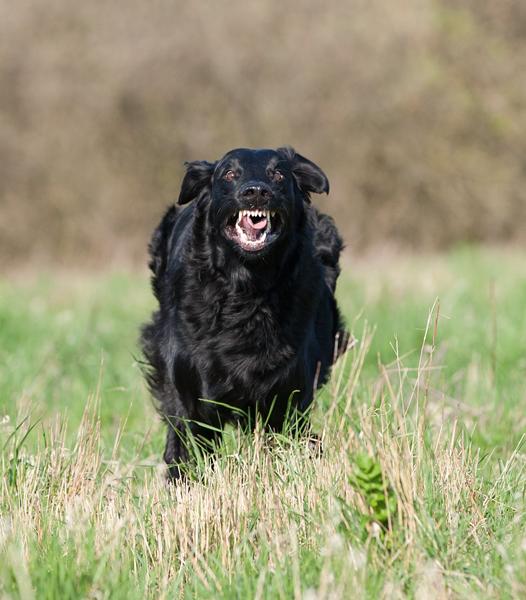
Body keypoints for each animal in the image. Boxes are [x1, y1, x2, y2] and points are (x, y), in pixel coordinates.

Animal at [141, 148, 346, 480]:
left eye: (278, 173)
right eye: (229, 174)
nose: (256, 192)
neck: (247, 286)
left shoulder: (290, 388)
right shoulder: (188, 384)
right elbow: (186, 436)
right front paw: (183, 479)